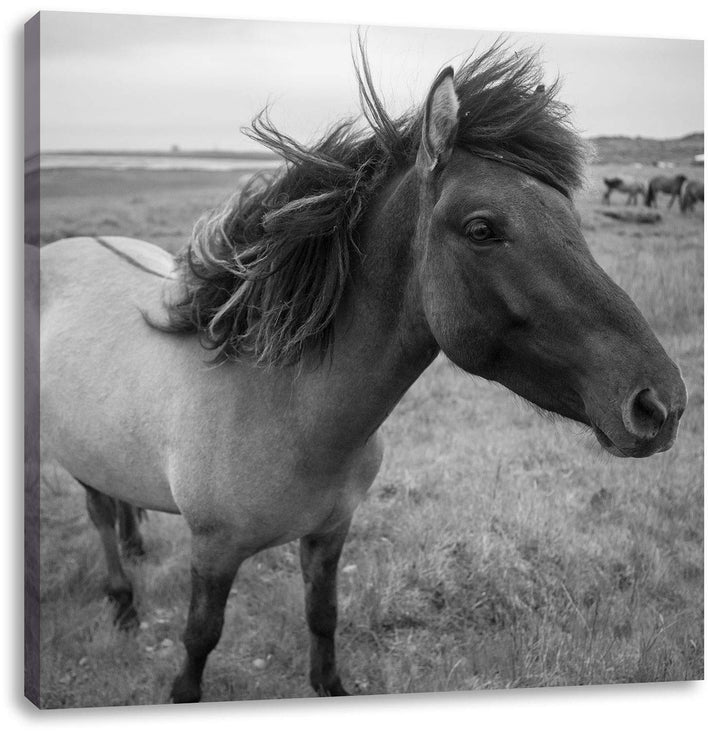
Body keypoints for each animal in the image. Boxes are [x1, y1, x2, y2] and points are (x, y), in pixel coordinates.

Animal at [38, 44, 687, 703]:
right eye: (482, 229)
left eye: (572, 219)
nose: (659, 404)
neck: (287, 411)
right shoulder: (214, 550)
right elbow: (200, 638)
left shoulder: (330, 534)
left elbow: (323, 616)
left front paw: (330, 685)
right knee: (98, 515)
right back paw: (122, 602)